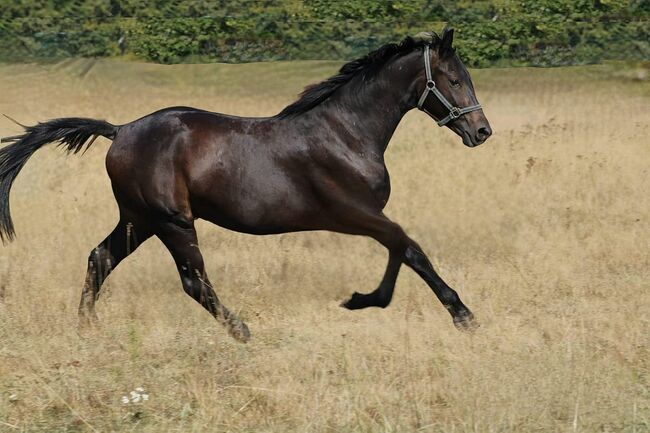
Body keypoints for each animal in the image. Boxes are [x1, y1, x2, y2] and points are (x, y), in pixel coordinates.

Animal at [0, 28, 488, 342]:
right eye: (454, 79)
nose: (482, 132)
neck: (345, 132)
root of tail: (119, 131)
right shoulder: (355, 212)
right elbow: (409, 247)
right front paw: (458, 314)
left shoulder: (363, 216)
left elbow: (402, 249)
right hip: (171, 221)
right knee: (192, 281)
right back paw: (242, 331)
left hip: (139, 219)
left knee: (100, 258)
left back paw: (87, 330)